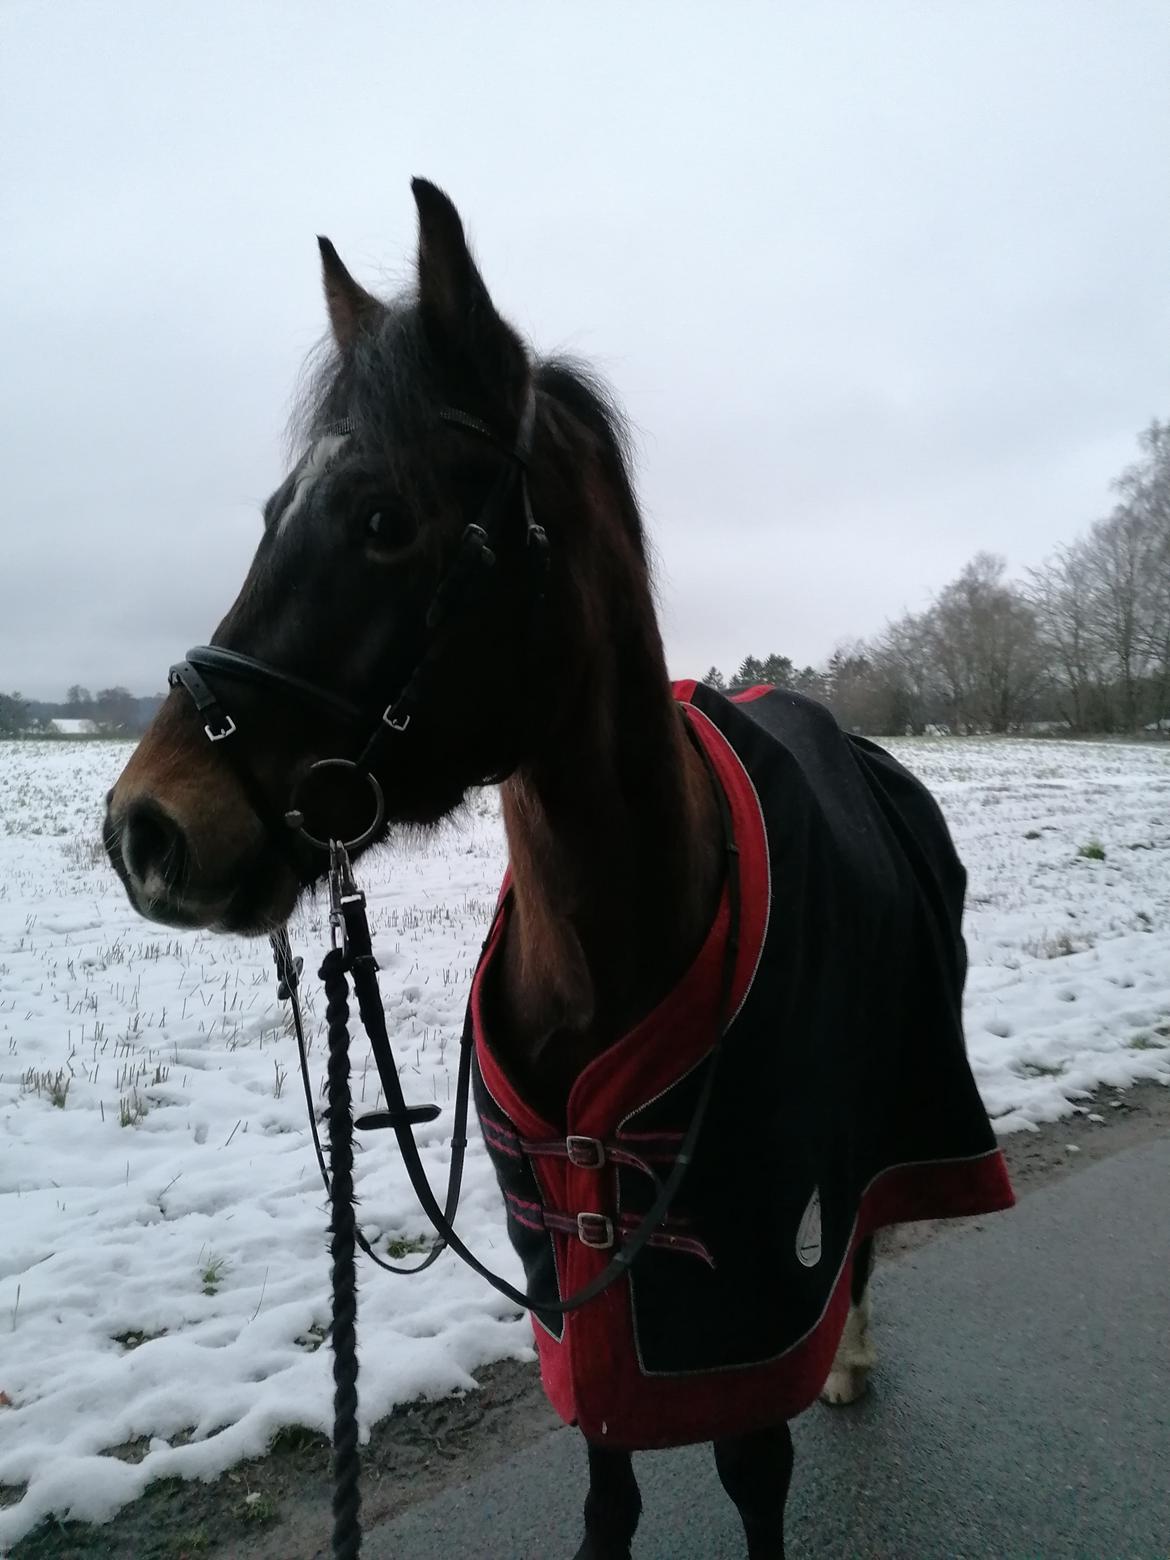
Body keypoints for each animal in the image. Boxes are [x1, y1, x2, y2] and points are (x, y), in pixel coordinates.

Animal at [104, 179, 1013, 1559]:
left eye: (384, 522)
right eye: (271, 518)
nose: (146, 829)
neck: (605, 940)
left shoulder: (750, 1271)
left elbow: (753, 1464)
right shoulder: (570, 1288)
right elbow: (608, 1489)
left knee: (857, 1241)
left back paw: (850, 1353)